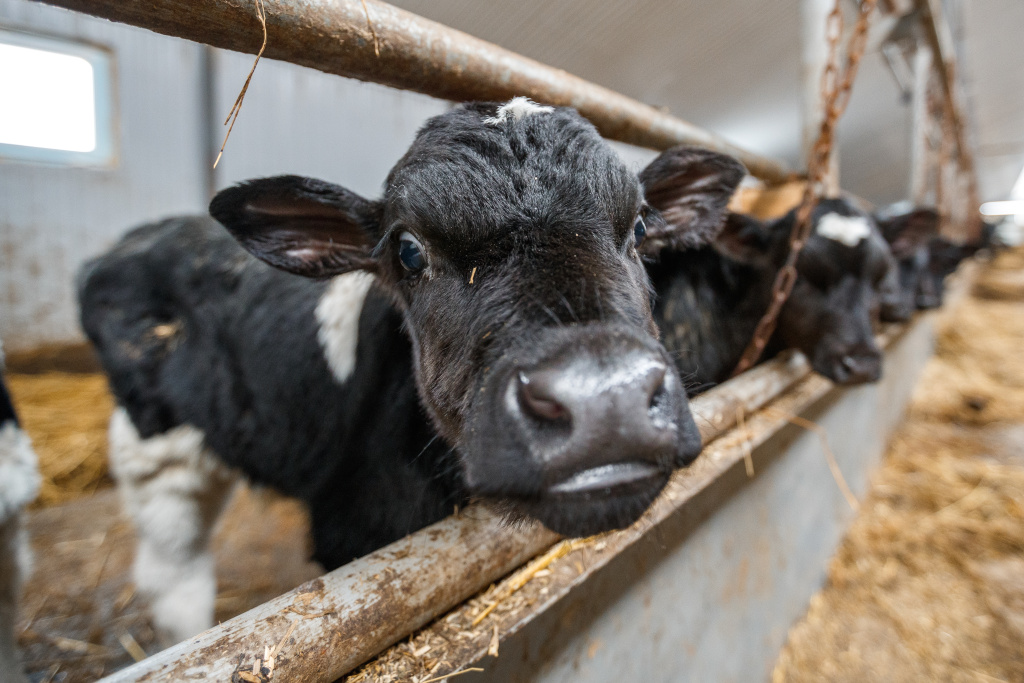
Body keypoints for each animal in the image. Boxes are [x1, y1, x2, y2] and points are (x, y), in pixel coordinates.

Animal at [79, 98, 749, 643]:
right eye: (407, 250)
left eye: (639, 225)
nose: (604, 396)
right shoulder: (348, 524)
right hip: (152, 453)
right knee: (174, 577)